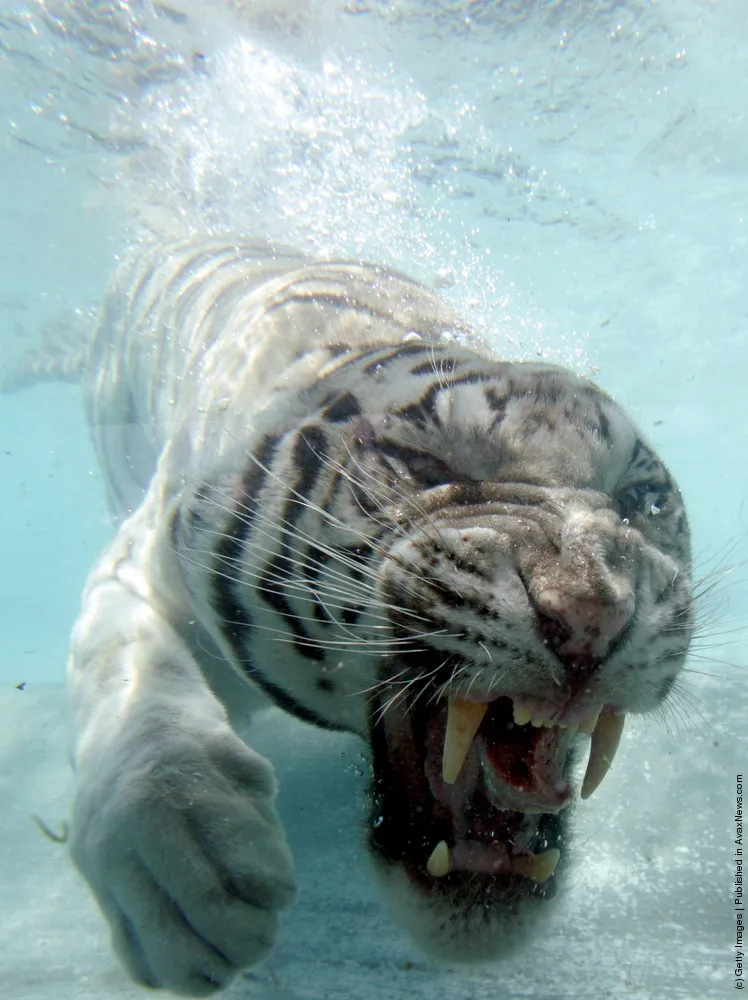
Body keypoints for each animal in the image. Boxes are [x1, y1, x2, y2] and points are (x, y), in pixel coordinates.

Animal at [7, 236, 693, 995]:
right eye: (424, 465)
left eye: (641, 499)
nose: (592, 613)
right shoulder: (146, 557)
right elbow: (126, 680)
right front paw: (182, 876)